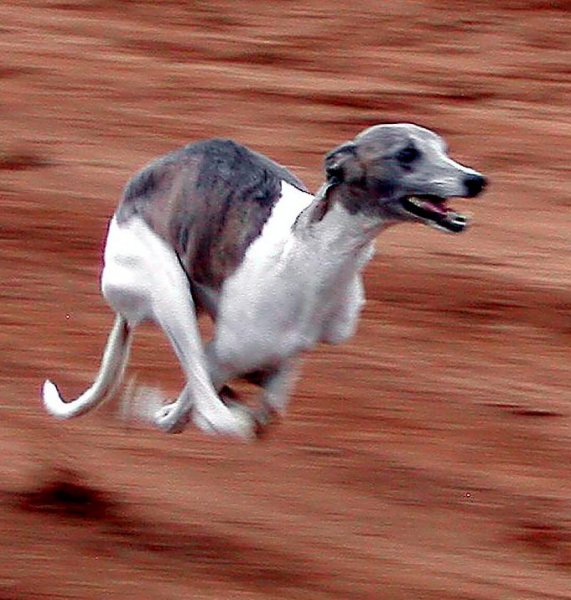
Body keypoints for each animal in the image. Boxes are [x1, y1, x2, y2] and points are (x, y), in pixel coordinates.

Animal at [42, 123, 486, 439]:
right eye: (406, 153)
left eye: (442, 148)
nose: (477, 180)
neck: (313, 253)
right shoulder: (224, 352)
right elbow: (223, 417)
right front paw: (169, 408)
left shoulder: (284, 352)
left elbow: (266, 410)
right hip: (165, 285)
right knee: (202, 398)